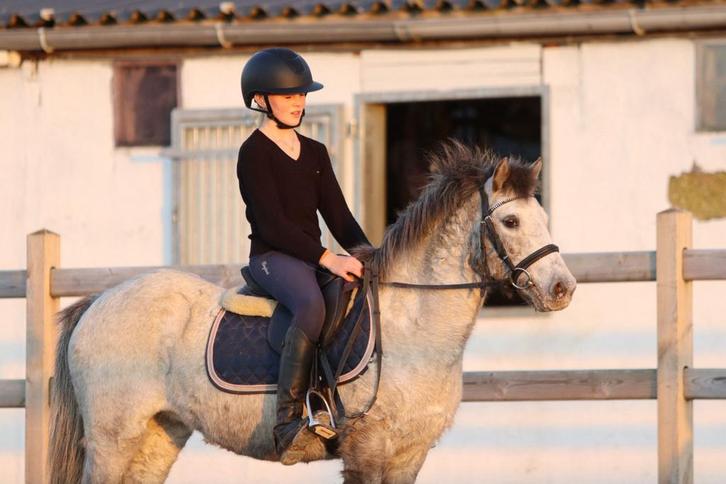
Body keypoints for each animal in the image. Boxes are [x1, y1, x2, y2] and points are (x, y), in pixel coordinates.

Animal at [49, 142, 576, 484]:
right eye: (511, 221)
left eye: (545, 218)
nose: (562, 289)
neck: (414, 330)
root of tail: (99, 301)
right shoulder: (368, 452)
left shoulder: (408, 455)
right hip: (113, 439)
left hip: (158, 436)